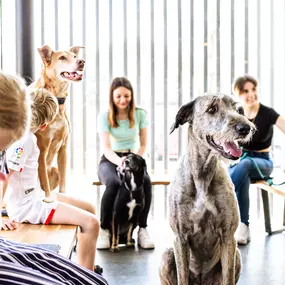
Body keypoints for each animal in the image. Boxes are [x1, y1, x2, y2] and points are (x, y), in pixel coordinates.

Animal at [30, 45, 85, 196]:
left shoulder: (64, 147)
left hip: (54, 171)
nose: (81, 62)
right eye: (62, 58)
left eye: (74, 56)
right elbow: (46, 187)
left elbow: (63, 184)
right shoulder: (42, 149)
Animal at [159, 93, 254, 284]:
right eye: (212, 109)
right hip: (166, 255)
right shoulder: (180, 237)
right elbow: (182, 277)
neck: (203, 174)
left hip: (237, 255)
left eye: (239, 110)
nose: (246, 128)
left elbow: (228, 277)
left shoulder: (228, 237)